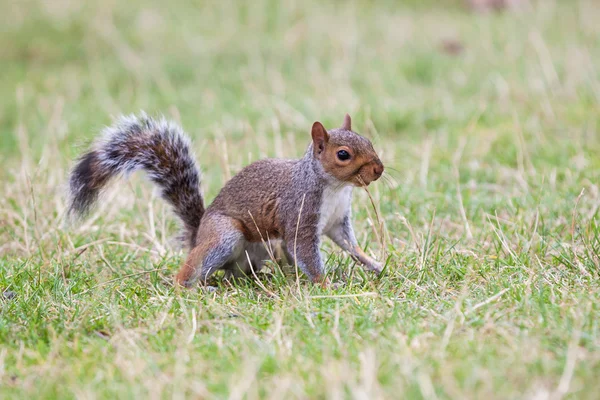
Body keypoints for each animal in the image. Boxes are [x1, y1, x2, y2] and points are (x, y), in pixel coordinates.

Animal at [65, 114, 384, 286]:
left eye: (368, 141)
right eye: (343, 154)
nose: (379, 170)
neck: (335, 187)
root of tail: (198, 234)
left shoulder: (337, 221)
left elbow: (350, 244)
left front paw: (374, 263)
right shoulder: (300, 214)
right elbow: (305, 251)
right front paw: (325, 283)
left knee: (235, 273)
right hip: (224, 235)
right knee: (191, 272)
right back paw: (193, 287)